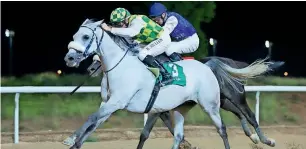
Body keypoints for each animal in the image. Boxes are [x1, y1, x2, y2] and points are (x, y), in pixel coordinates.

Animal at [64, 18, 274, 149]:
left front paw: (70, 139)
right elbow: (95, 125)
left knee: (235, 122)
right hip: (192, 105)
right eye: (74, 36)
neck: (122, 67)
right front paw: (76, 141)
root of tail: (208, 65)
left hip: (217, 101)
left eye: (85, 37)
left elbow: (92, 118)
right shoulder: (111, 104)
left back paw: (263, 138)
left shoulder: (117, 102)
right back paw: (256, 137)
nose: (70, 58)